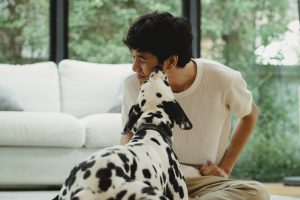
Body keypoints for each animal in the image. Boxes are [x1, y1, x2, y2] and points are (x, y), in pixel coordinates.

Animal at [52, 66, 193, 200]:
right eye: (166, 83)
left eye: (145, 82)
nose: (157, 67)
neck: (151, 127)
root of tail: (86, 187)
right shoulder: (179, 192)